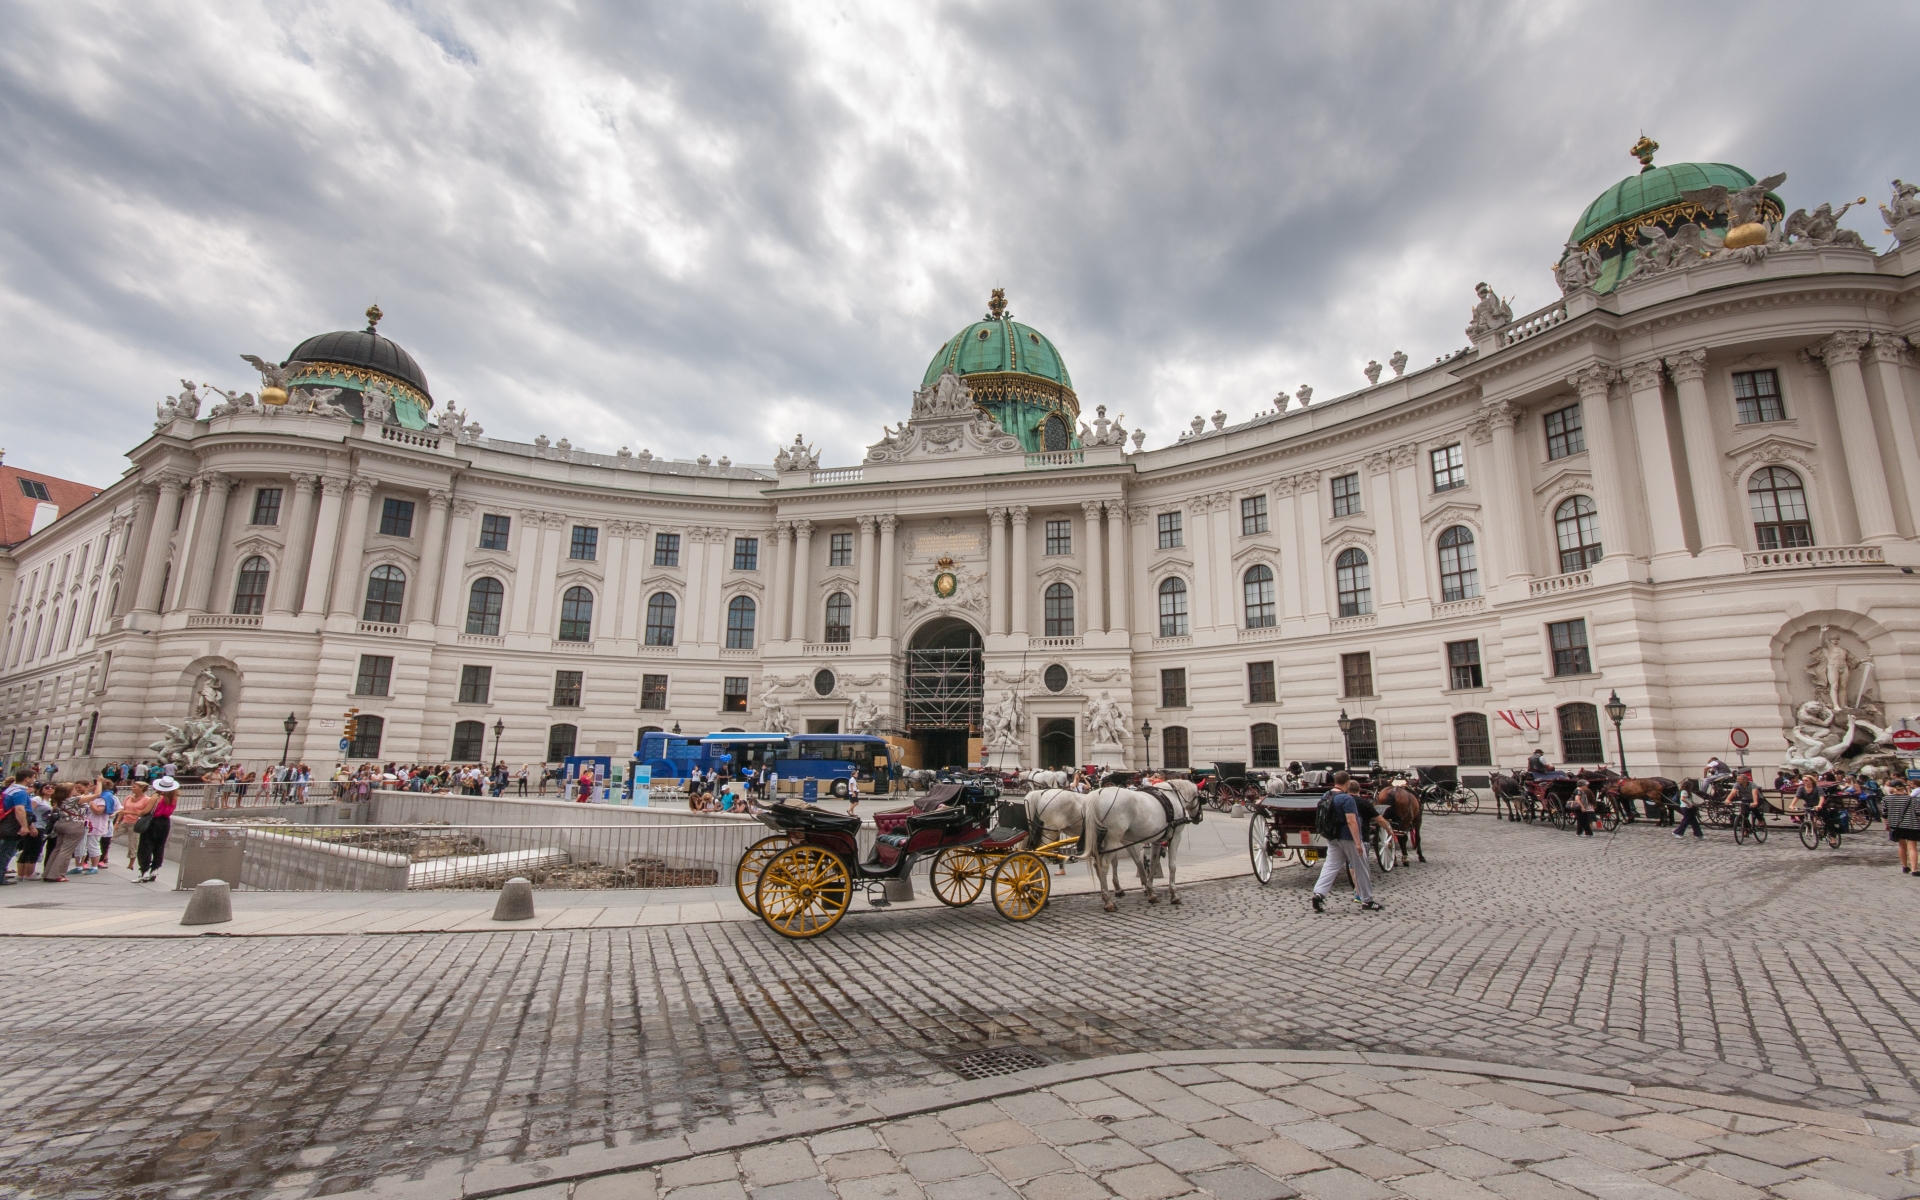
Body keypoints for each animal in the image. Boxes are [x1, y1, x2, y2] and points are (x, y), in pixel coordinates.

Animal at [1082, 775, 1198, 906]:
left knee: (1099, 864)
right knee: (1104, 866)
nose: (1198, 817)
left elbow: (1153, 863)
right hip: (1113, 839)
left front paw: (1151, 892)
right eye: (1200, 797)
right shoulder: (1176, 837)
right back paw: (1108, 901)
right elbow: (1172, 866)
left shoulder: (1157, 839)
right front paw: (1174, 895)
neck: (1173, 796)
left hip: (1102, 840)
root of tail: (1097, 794)